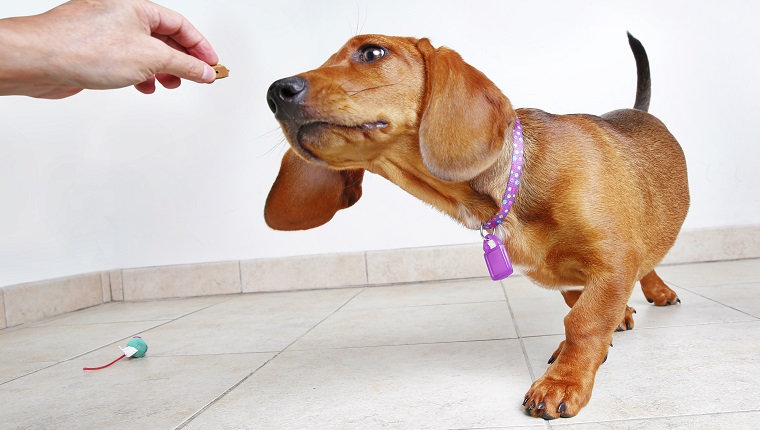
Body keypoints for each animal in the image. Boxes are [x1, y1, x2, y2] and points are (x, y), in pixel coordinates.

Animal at [262, 33, 688, 420]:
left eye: (372, 52)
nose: (275, 92)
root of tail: (637, 111)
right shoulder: (578, 278)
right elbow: (578, 308)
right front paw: (583, 349)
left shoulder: (613, 261)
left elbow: (585, 321)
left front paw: (563, 382)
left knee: (650, 258)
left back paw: (658, 292)